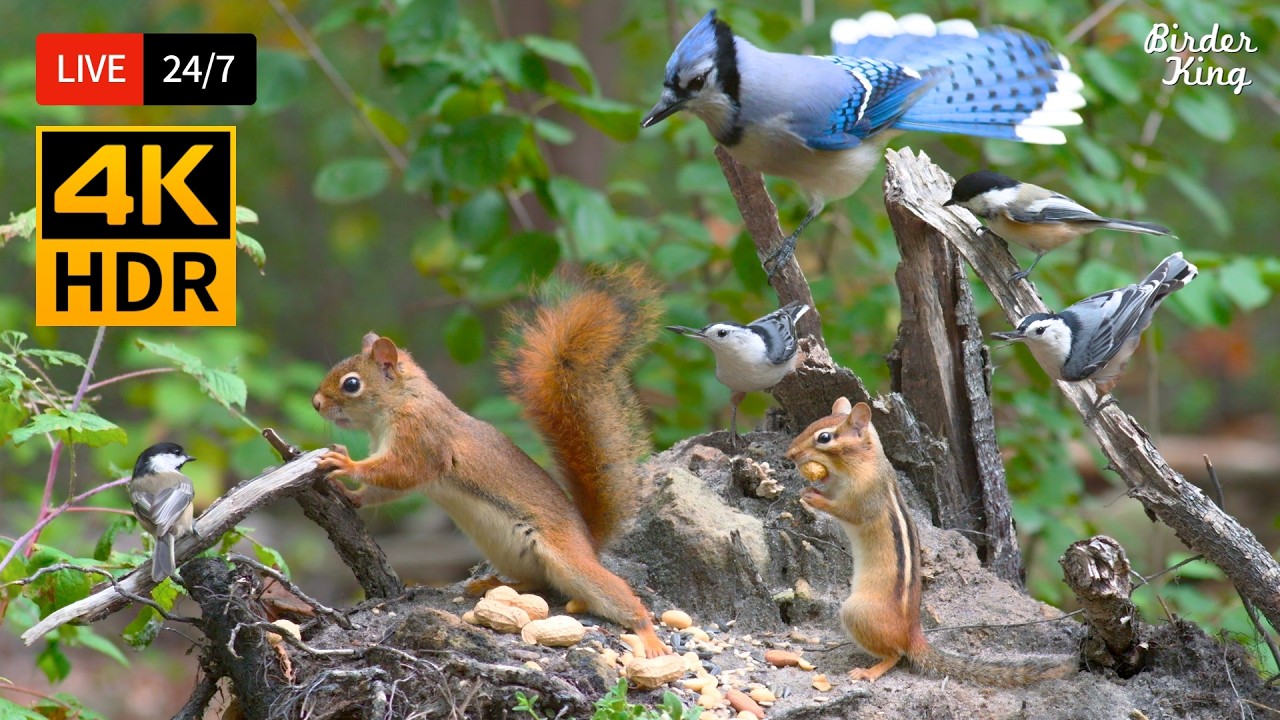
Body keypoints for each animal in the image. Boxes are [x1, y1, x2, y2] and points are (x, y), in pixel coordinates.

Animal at [311, 269, 668, 657]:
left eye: (351, 384)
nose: (316, 404)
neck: (399, 403)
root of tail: (587, 538)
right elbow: (386, 490)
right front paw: (351, 494)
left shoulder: (422, 440)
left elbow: (401, 472)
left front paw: (345, 463)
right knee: (536, 583)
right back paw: (489, 585)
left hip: (570, 561)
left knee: (614, 594)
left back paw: (649, 635)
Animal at [786, 397, 1076, 686]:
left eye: (824, 437)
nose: (790, 455)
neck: (862, 461)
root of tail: (913, 634)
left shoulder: (865, 496)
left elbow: (846, 511)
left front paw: (812, 497)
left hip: (856, 612)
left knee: (895, 655)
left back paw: (870, 671)